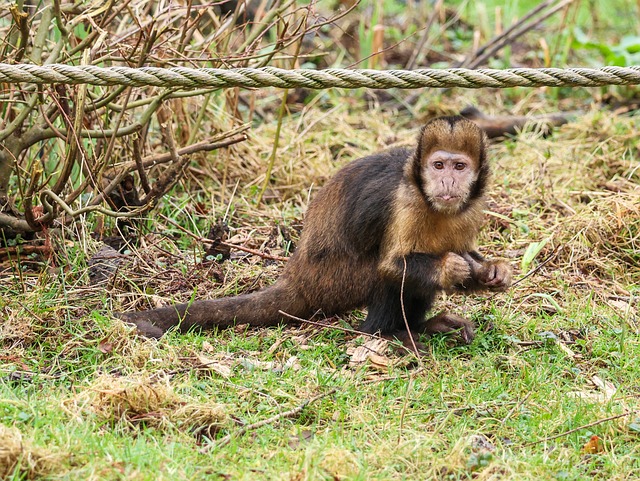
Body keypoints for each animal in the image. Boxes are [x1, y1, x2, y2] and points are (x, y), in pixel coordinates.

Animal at [119, 116, 510, 348]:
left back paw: (423, 327)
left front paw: (490, 271)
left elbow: (466, 257)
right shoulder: (406, 201)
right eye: (438, 165)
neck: (431, 201)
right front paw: (449, 267)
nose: (447, 182)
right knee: (383, 274)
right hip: (331, 281)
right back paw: (391, 333)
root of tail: (297, 276)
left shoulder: (472, 206)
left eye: (460, 167)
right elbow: (392, 266)